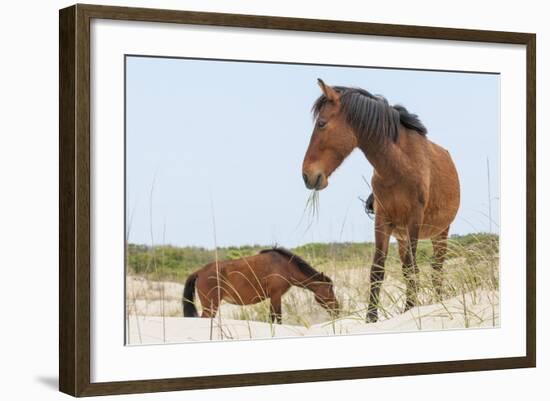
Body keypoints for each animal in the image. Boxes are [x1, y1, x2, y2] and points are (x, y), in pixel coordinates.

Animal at [185, 245, 340, 324]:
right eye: (330, 289)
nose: (337, 309)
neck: (285, 266)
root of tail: (199, 272)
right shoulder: (276, 296)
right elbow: (277, 318)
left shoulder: (274, 298)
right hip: (210, 306)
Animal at [302, 78, 462, 322]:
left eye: (321, 123)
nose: (307, 175)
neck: (398, 166)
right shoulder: (382, 221)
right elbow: (378, 270)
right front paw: (372, 318)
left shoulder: (414, 220)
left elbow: (413, 268)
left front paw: (410, 310)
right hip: (402, 237)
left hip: (440, 232)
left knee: (437, 268)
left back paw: (438, 301)